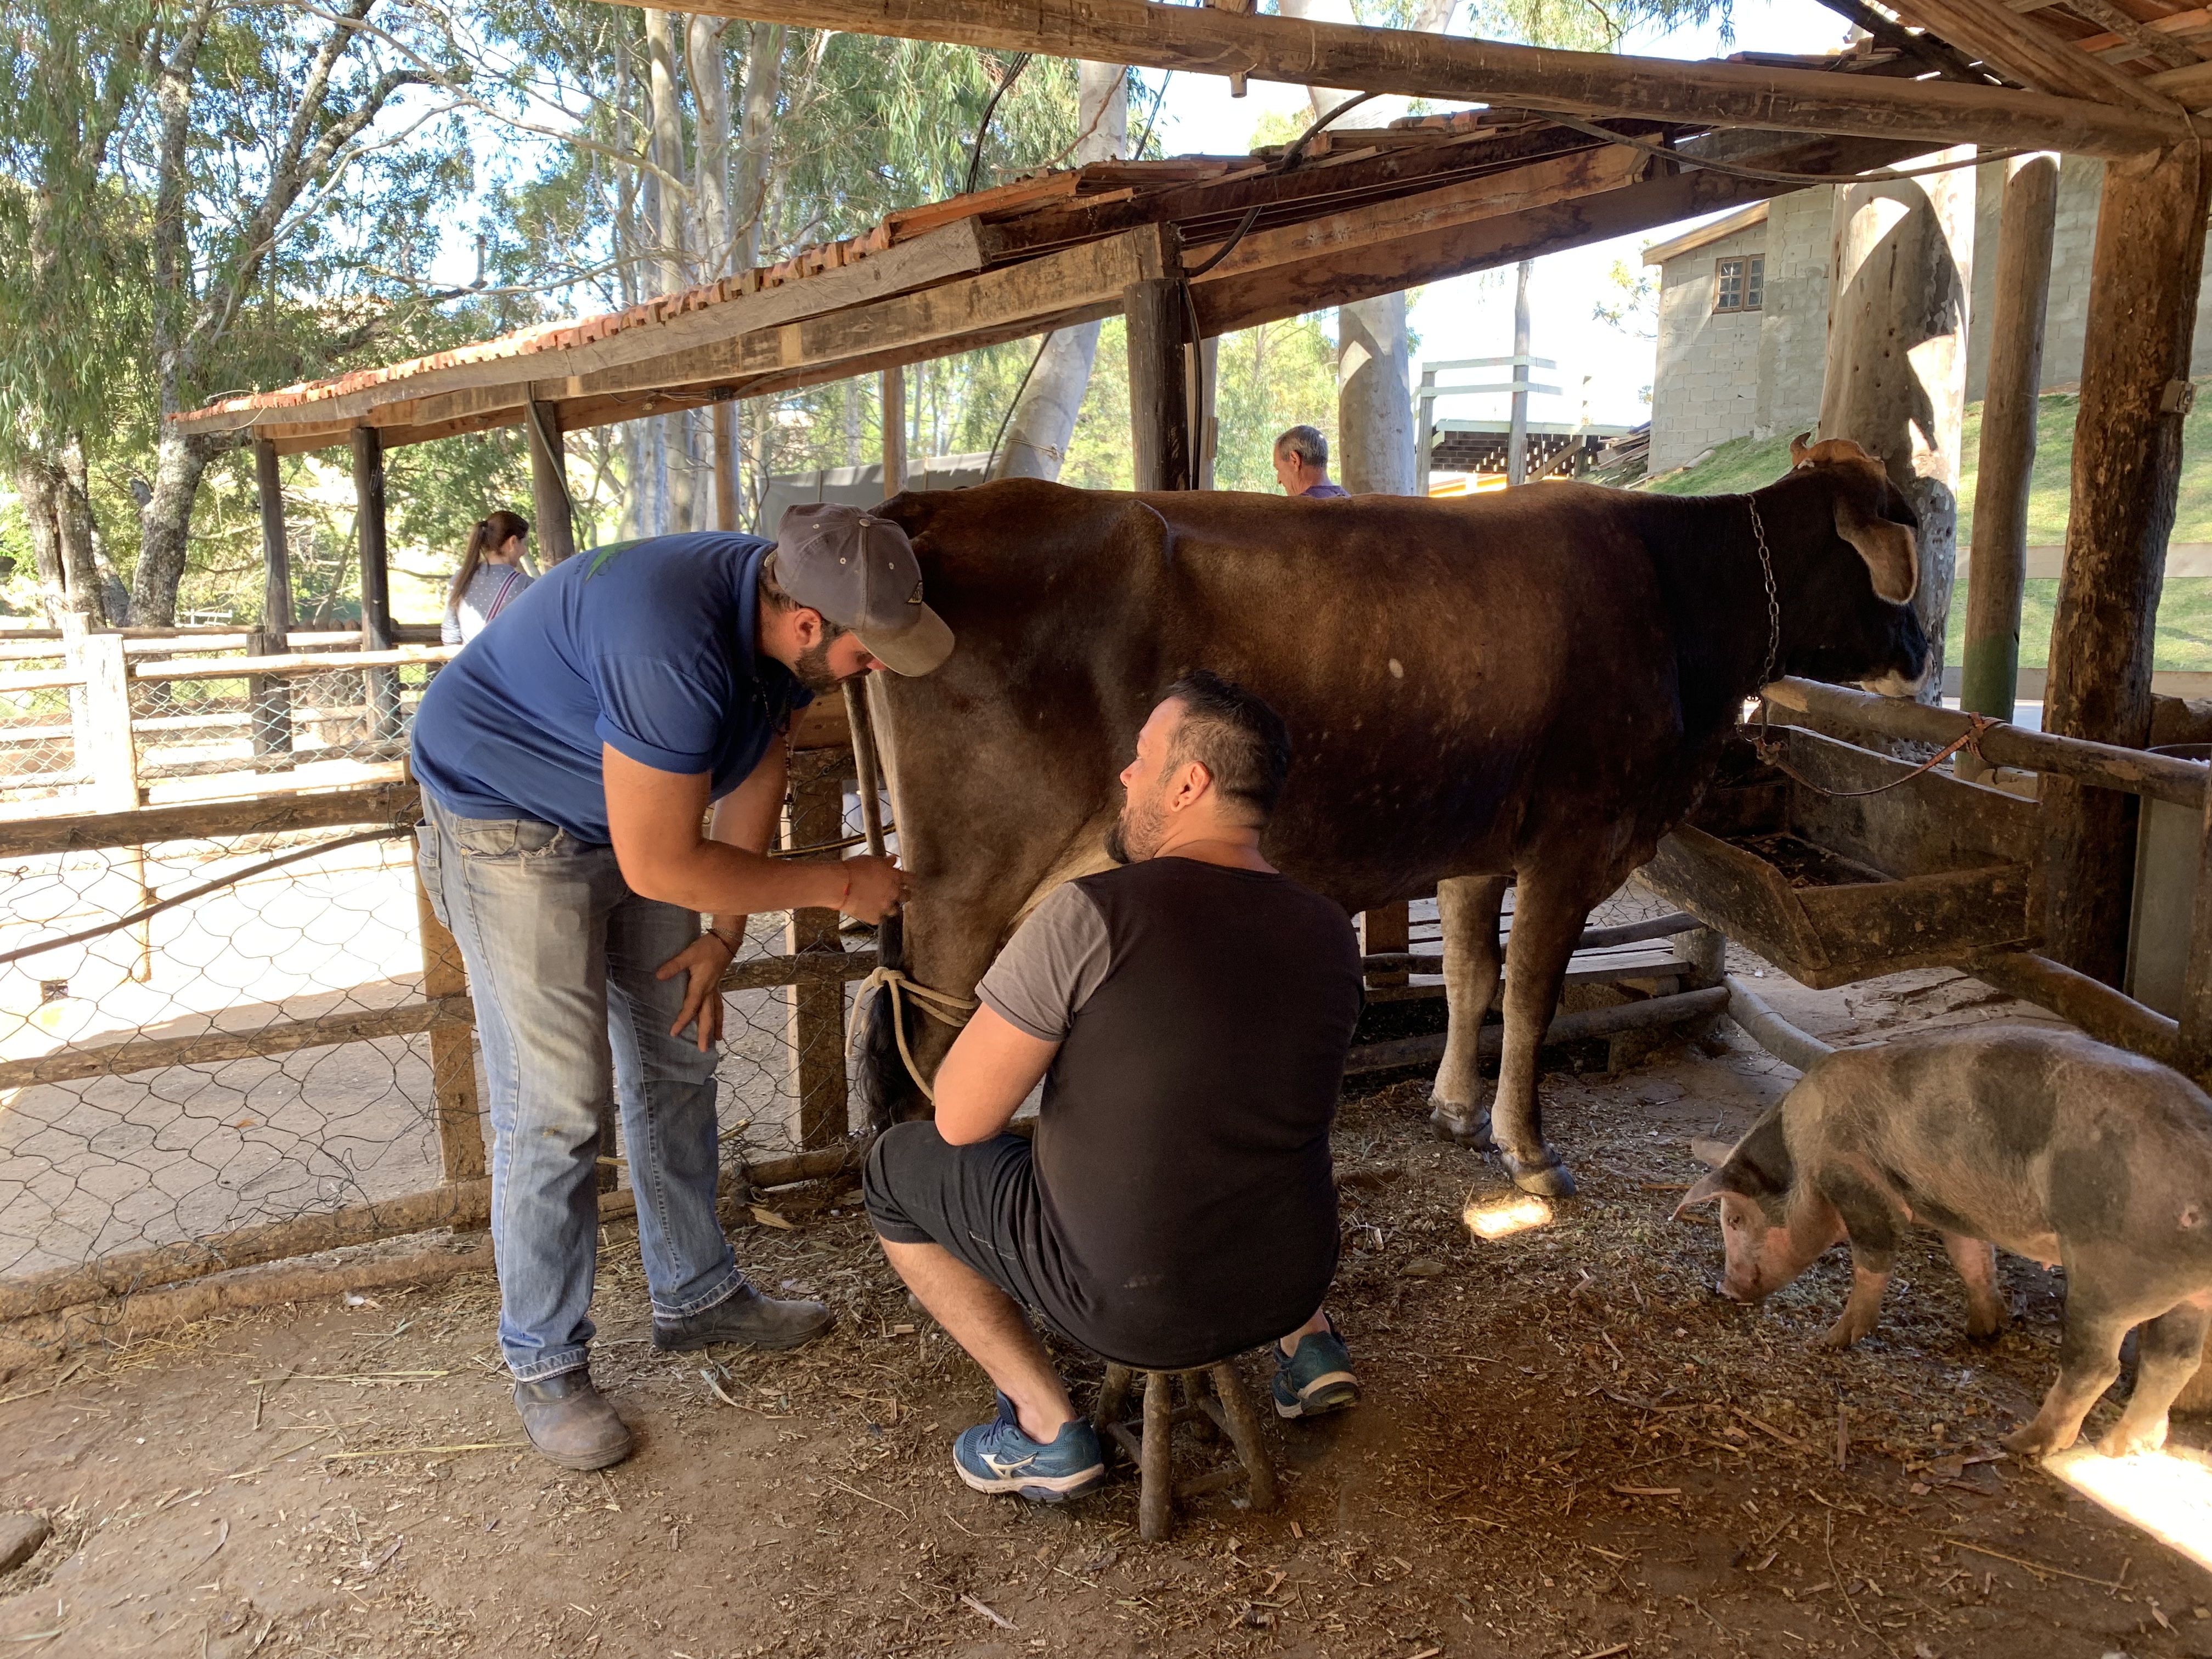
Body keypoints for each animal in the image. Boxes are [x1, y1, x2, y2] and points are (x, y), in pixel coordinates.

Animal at [854, 442, 1928, 1194]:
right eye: (1909, 527)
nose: (1921, 652)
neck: (1675, 597)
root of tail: (927, 507)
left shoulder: (1477, 842)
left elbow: (1467, 976)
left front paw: (1453, 1110)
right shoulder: (1574, 840)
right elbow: (1530, 996)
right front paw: (1529, 1149)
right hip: (971, 881)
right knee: (925, 1053)